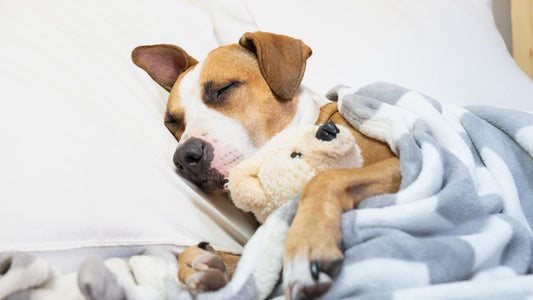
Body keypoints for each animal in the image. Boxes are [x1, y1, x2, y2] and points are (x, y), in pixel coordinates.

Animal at [132, 31, 400, 298]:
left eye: (223, 89)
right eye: (172, 122)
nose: (185, 156)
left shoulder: (397, 164)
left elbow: (324, 179)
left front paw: (306, 244)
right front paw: (201, 264)